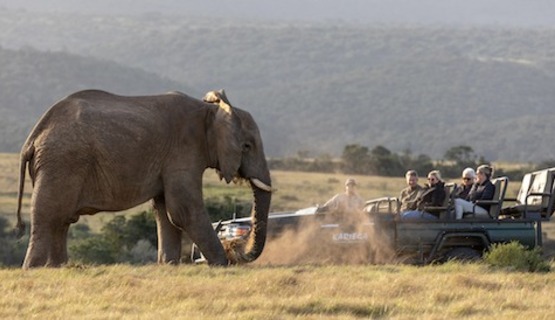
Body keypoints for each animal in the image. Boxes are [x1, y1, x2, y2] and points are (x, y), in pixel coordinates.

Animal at [14, 89, 272, 268]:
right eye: (247, 146)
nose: (232, 249)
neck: (211, 111)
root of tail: (33, 137)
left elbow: (165, 211)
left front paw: (169, 266)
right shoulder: (183, 152)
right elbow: (183, 210)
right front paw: (221, 265)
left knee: (61, 220)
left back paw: (58, 268)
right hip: (62, 161)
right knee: (49, 216)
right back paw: (34, 269)